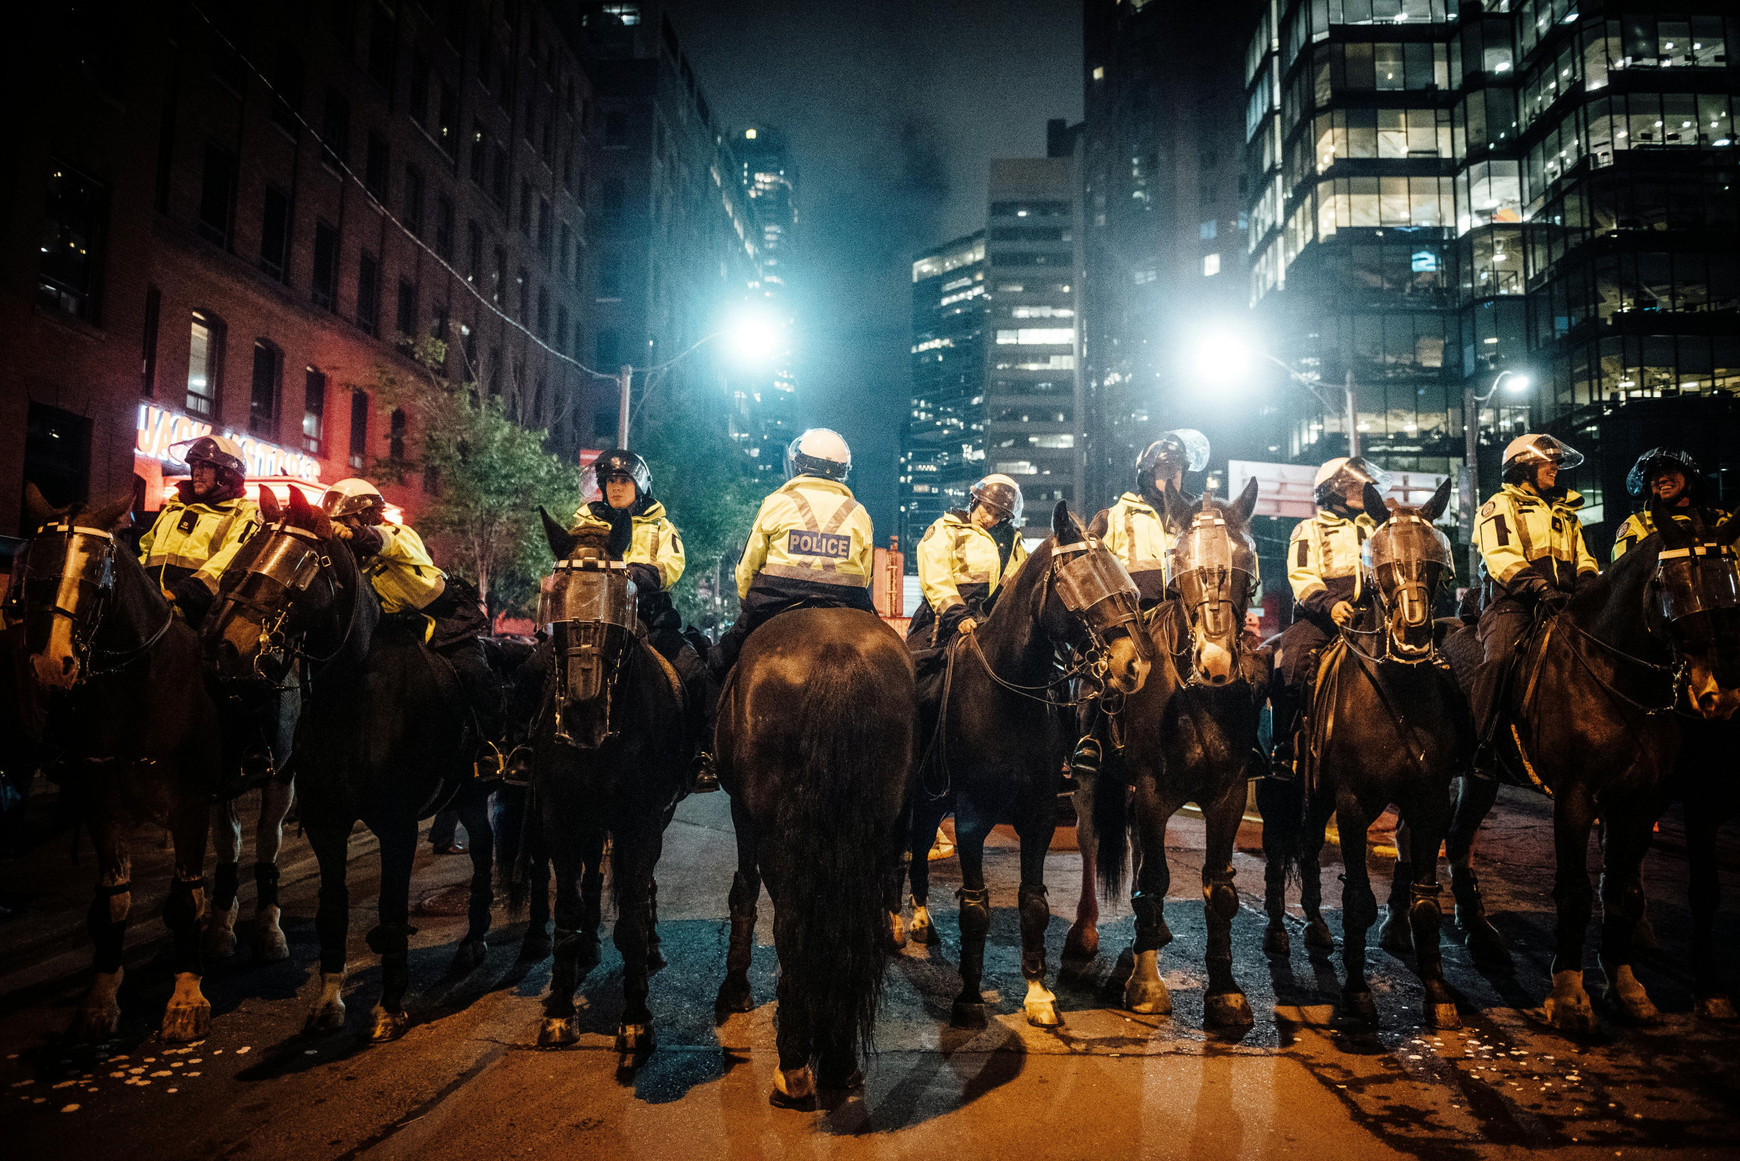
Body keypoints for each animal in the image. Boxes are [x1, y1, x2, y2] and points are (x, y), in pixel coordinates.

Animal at [4, 490, 220, 1044]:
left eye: (97, 577)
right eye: (34, 573)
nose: (52, 664)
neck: (138, 686)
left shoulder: (190, 802)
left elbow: (187, 898)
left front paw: (186, 998)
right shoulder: (101, 802)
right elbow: (113, 903)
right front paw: (100, 1000)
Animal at [897, 504, 1155, 1030]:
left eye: (1124, 582)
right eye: (1081, 579)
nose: (1134, 666)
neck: (1007, 695)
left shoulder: (1037, 815)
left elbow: (1033, 901)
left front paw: (1038, 993)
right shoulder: (972, 817)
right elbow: (975, 908)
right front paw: (969, 999)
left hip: (932, 797)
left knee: (920, 845)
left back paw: (921, 918)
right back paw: (895, 922)